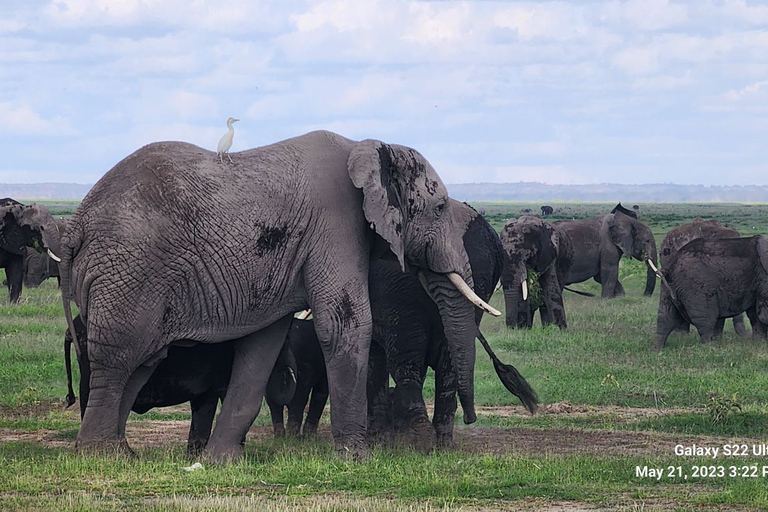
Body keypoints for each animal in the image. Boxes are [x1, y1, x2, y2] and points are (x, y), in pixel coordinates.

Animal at [364, 202, 536, 450]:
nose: (470, 418)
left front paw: (382, 438)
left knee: (408, 362)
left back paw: (425, 442)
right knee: (439, 363)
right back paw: (437, 443)